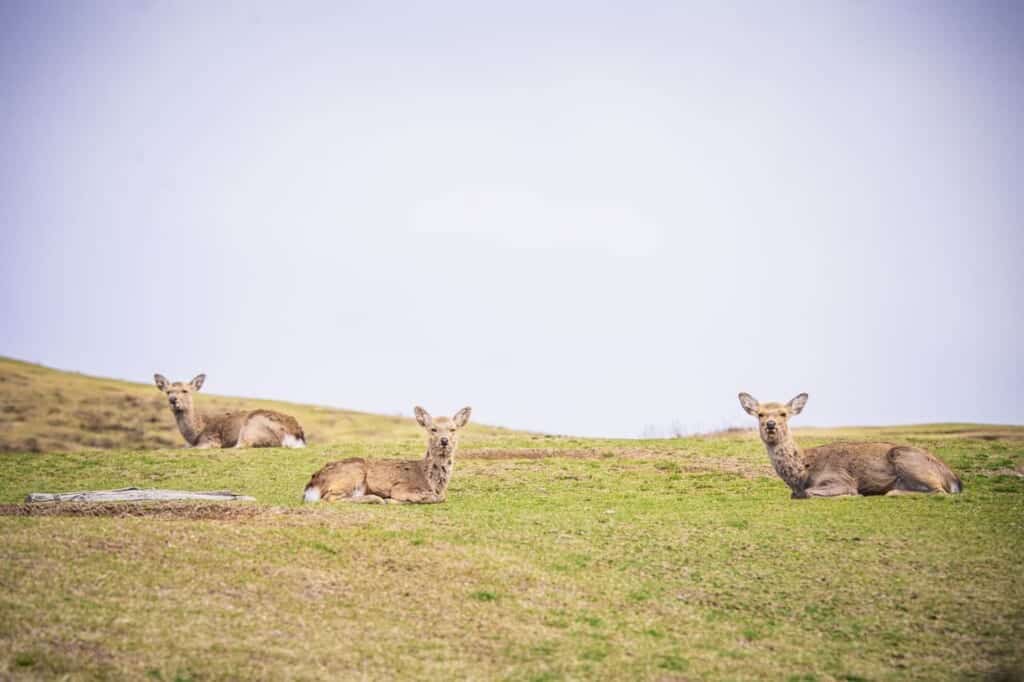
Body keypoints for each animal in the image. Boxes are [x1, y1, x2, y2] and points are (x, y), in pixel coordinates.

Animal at [153, 373, 306, 449]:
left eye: (185, 391)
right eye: (168, 391)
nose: (173, 400)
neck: (195, 435)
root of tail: (297, 437)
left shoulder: (211, 440)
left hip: (252, 425)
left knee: (242, 445)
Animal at [303, 405, 471, 504]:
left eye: (453, 429)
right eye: (433, 429)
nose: (444, 440)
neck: (432, 482)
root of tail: (312, 484)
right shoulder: (401, 486)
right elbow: (439, 497)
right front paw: (394, 500)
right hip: (353, 473)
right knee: (329, 498)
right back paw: (376, 498)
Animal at [738, 392, 962, 499]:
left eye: (783, 413)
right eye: (760, 414)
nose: (770, 424)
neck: (802, 474)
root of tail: (954, 479)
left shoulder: (840, 479)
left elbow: (809, 494)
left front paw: (852, 496)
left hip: (907, 459)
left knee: (938, 491)